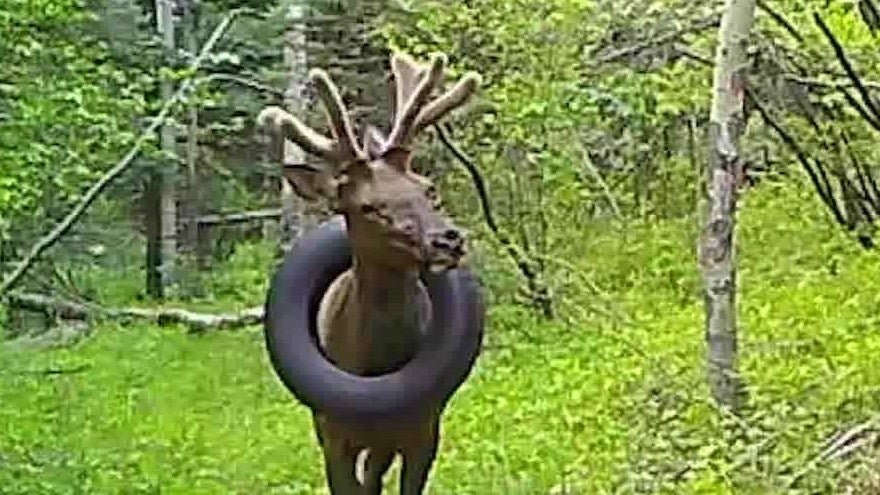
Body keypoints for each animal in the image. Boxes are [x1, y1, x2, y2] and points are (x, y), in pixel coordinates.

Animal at [257, 51, 483, 494]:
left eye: (427, 188)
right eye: (367, 207)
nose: (447, 240)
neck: (377, 365)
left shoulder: (424, 430)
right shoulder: (332, 433)